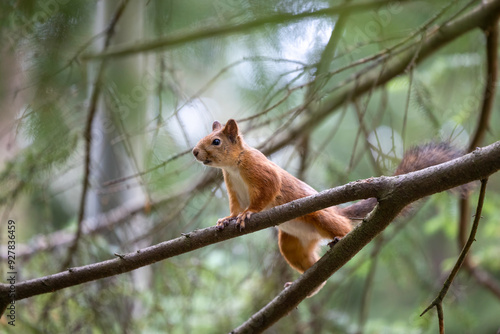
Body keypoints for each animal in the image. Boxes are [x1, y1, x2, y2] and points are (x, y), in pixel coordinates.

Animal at [192, 118, 464, 294]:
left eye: (216, 141)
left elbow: (267, 191)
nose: (194, 152)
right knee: (311, 268)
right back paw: (306, 284)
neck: (232, 167)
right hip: (291, 244)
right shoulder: (233, 190)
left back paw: (343, 238)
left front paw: (249, 214)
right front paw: (227, 219)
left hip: (321, 216)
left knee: (343, 226)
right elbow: (235, 207)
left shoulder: (260, 170)